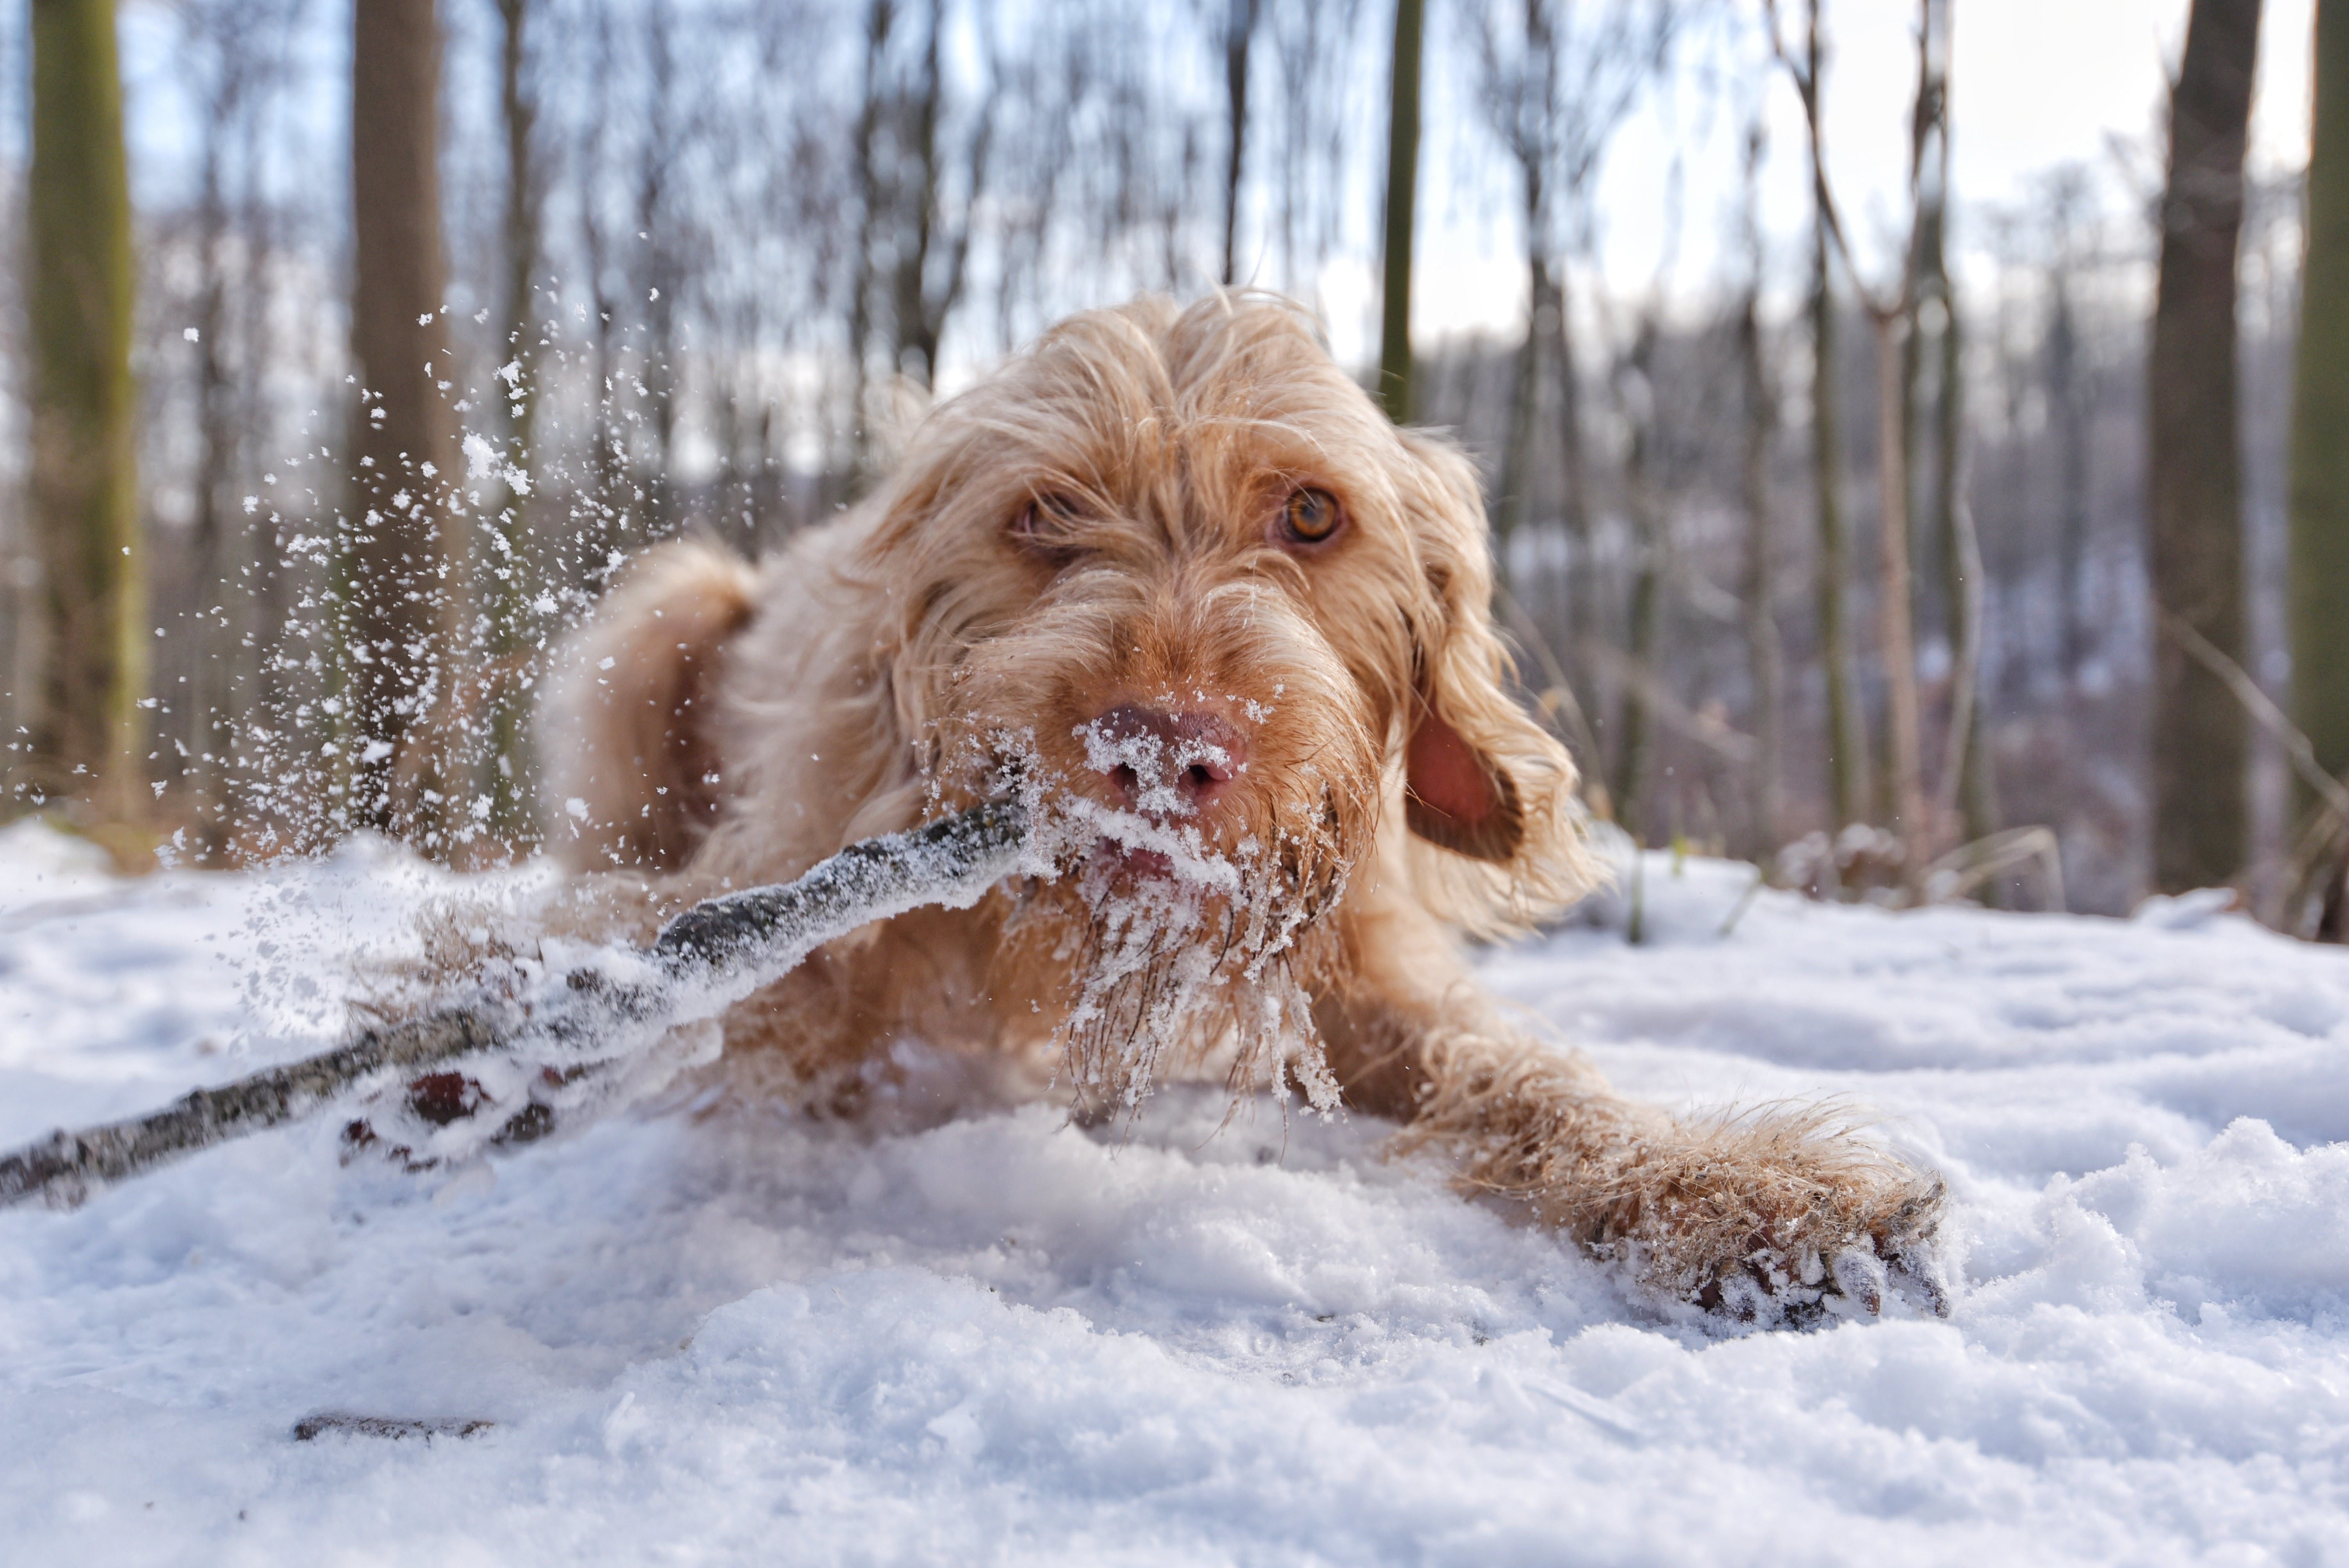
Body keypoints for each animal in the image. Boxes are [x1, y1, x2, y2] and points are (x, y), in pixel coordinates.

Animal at [545, 293, 1945, 1324]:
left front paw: (1735, 1188)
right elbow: (693, 953)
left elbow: (1526, 1076)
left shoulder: (1370, 979)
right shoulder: (794, 885)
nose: (1167, 746)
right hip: (667, 603)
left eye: (1313, 512)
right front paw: (520, 1005)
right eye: (1044, 514)